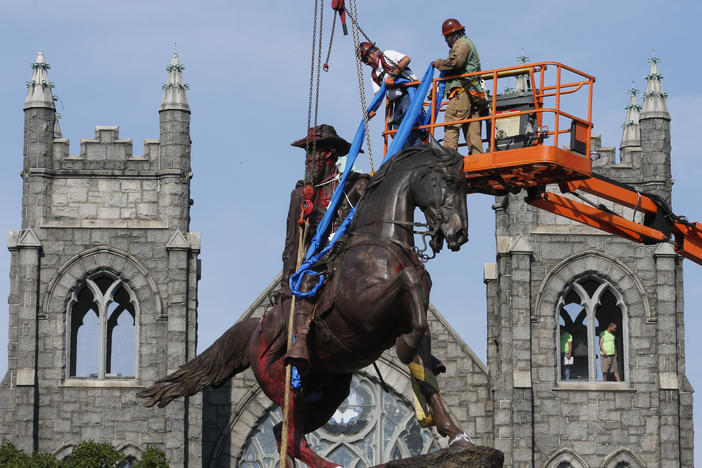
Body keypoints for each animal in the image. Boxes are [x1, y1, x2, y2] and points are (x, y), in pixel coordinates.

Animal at [139, 139, 472, 468]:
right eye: (449, 181)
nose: (459, 234)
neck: (382, 242)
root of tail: (255, 332)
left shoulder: (409, 325)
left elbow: (426, 373)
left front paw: (455, 434)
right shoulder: (367, 311)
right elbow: (409, 282)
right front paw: (406, 344)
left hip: (328, 393)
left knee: (286, 433)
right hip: (284, 382)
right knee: (288, 433)